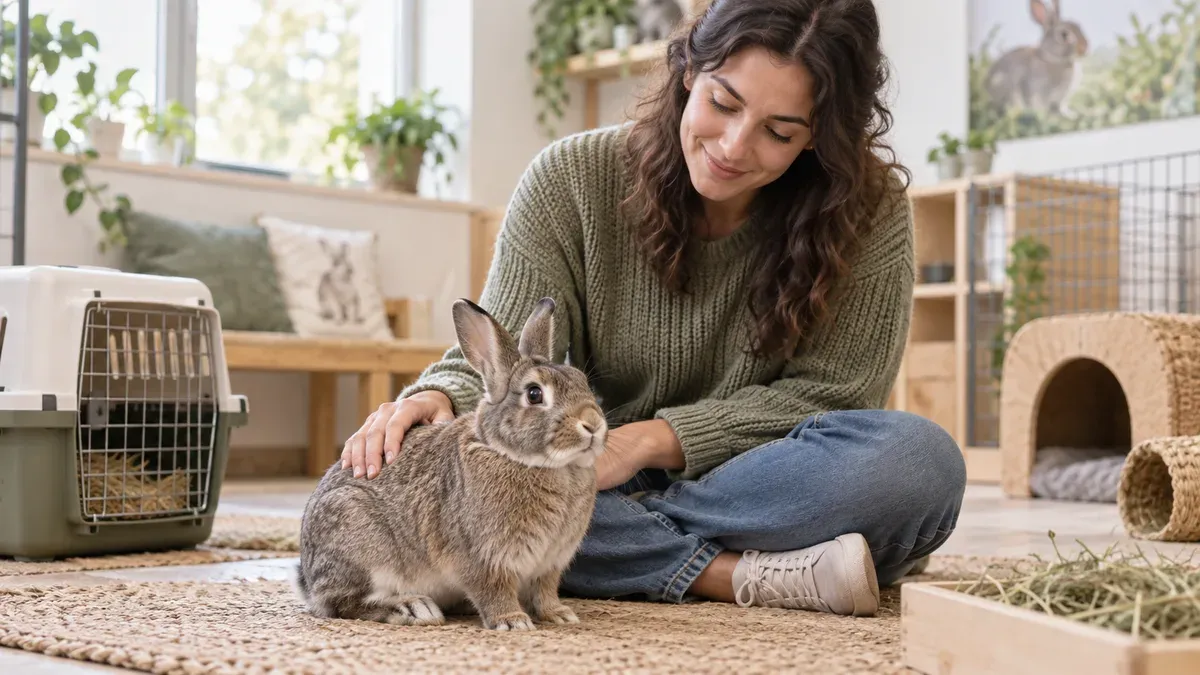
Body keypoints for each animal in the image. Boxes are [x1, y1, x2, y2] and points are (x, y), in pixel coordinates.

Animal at [295, 296, 608, 631]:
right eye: (534, 394)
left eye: (582, 382)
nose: (593, 424)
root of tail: (308, 580)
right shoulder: (482, 557)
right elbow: (493, 590)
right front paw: (512, 621)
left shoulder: (550, 563)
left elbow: (545, 590)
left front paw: (559, 614)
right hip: (359, 540)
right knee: (341, 603)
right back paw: (413, 608)